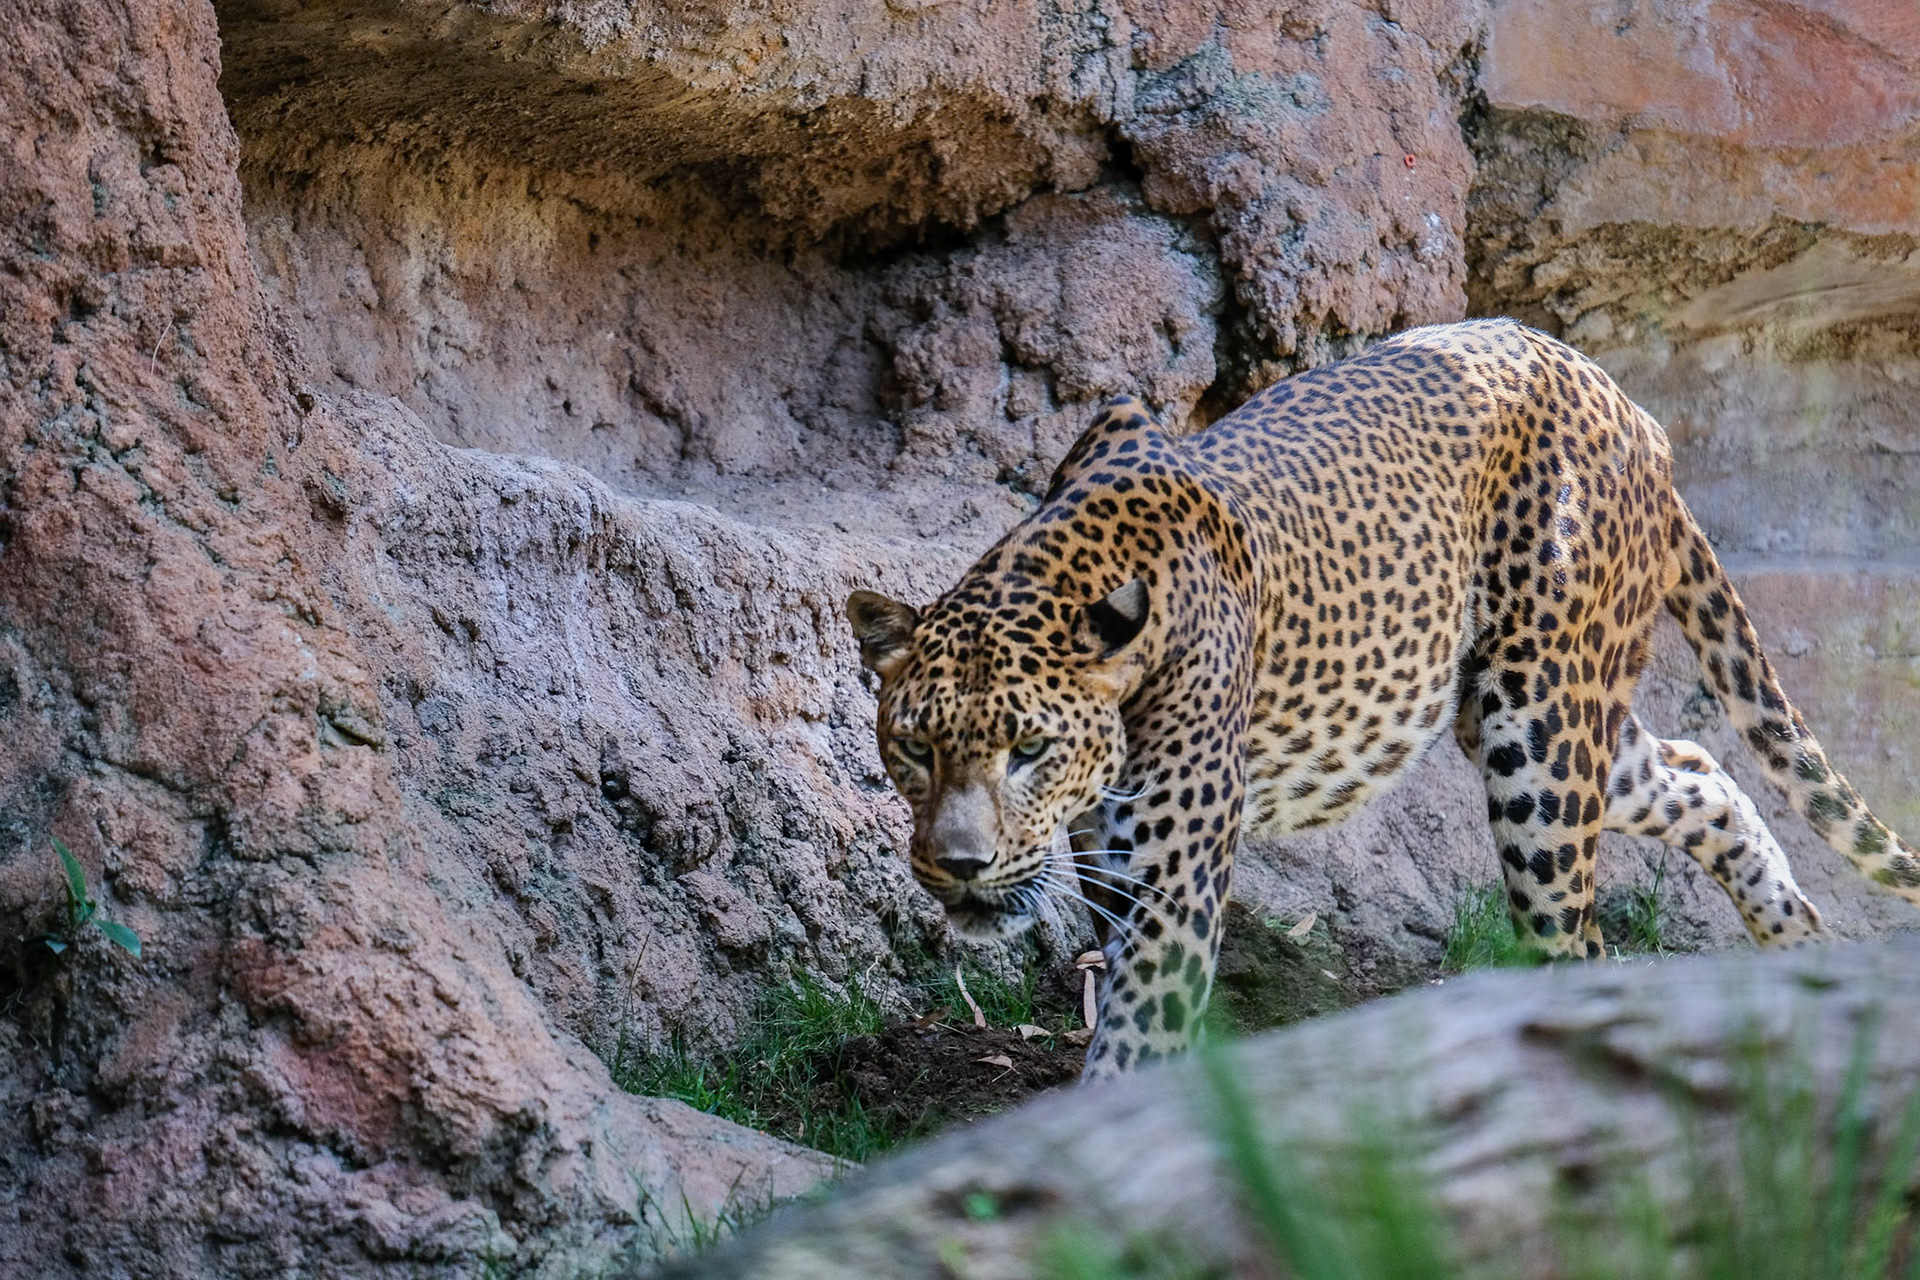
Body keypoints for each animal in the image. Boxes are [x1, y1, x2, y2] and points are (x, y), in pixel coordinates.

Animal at [846, 318, 1920, 1081]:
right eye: (914, 751)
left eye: (1029, 751)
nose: (959, 867)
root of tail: (1622, 399)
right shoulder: (1113, 867)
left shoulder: (1170, 891)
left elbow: (1133, 1052)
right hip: (1537, 726)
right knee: (1700, 774)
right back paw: (1793, 943)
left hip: (1541, 745)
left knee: (1576, 932)